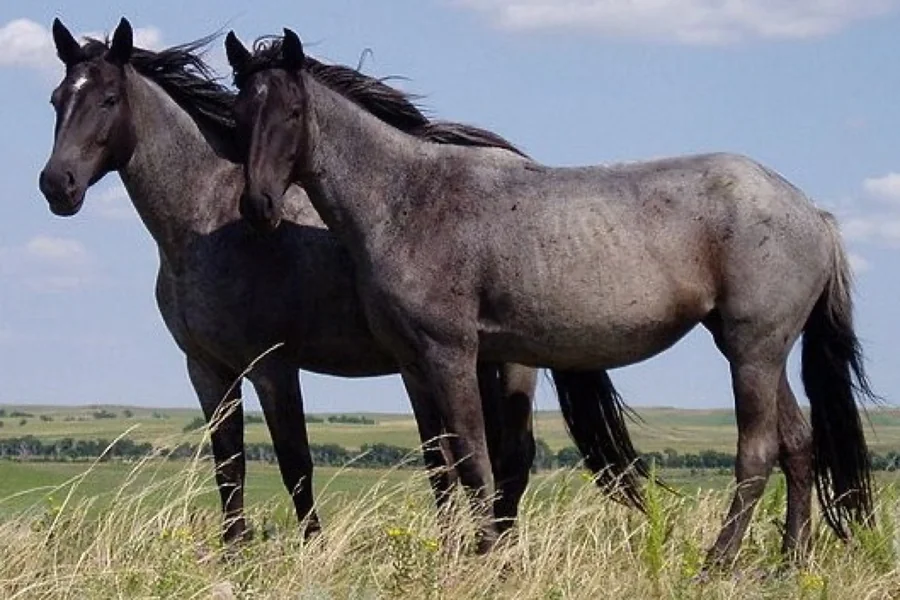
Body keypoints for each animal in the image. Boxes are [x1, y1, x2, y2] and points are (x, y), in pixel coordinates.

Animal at [37, 17, 547, 546]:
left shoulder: (273, 367)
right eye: (57, 99)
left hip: (511, 364)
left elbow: (295, 463)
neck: (207, 222)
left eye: (109, 99)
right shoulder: (207, 370)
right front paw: (233, 550)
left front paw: (311, 548)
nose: (57, 184)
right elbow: (229, 468)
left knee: (510, 461)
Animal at [225, 27, 877, 564]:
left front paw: (484, 556)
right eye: (238, 113)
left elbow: (474, 458)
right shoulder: (412, 363)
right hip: (759, 350)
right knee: (798, 445)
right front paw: (453, 552)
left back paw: (719, 560)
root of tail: (812, 212)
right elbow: (441, 462)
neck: (408, 199)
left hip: (752, 351)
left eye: (293, 110)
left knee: (757, 451)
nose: (257, 206)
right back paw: (791, 559)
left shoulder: (453, 354)